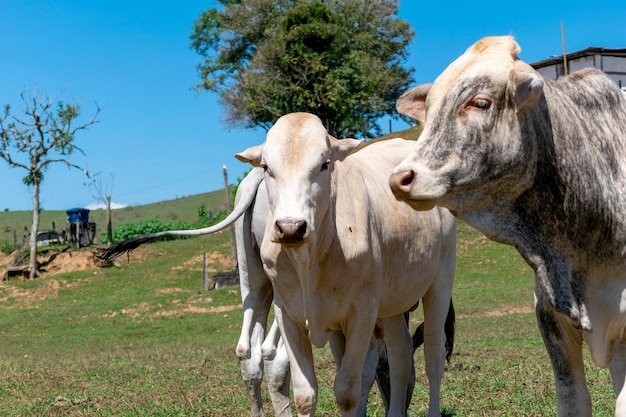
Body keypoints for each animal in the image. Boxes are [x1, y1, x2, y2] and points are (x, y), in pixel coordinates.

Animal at [234, 112, 454, 414]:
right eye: (267, 167)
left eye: (325, 164)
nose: (290, 228)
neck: (310, 260)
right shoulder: (288, 314)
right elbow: (305, 394)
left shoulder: (362, 314)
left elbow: (348, 390)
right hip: (392, 302)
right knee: (401, 356)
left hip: (440, 281)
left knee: (433, 355)